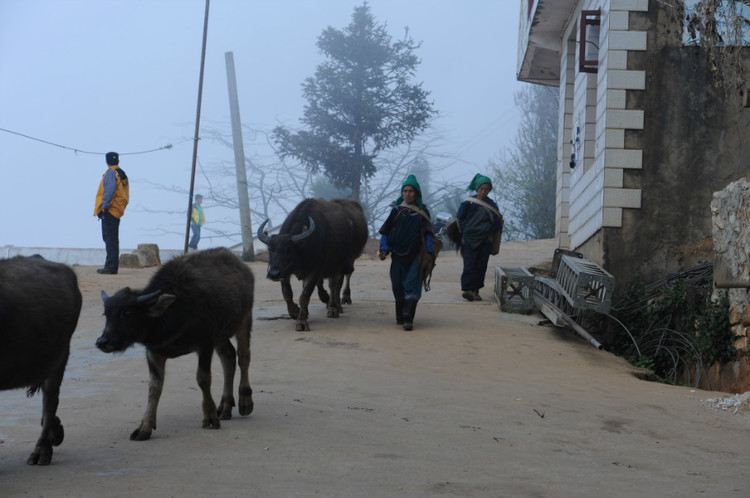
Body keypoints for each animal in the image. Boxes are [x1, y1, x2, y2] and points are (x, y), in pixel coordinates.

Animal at [96, 248, 256, 440]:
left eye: (127, 313)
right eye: (106, 314)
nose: (102, 342)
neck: (173, 312)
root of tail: (242, 266)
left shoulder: (205, 344)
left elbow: (203, 379)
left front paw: (210, 418)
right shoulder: (154, 352)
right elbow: (154, 387)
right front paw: (144, 427)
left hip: (244, 319)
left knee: (244, 356)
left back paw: (245, 401)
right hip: (221, 335)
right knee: (229, 357)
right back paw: (225, 406)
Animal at [258, 198, 370, 330]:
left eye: (288, 249)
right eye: (270, 249)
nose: (274, 274)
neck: (303, 248)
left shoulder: (315, 270)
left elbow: (305, 295)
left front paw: (301, 322)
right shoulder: (285, 271)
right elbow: (287, 293)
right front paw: (295, 312)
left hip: (342, 262)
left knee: (336, 284)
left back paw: (335, 307)